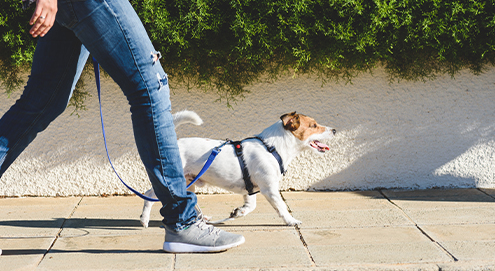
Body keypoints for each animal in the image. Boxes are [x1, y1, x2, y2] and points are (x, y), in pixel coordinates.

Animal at [141, 110, 340, 227]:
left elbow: (250, 205)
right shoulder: (270, 189)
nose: (335, 130)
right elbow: (282, 207)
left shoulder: (250, 189)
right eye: (314, 125)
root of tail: (174, 145)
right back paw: (144, 219)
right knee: (149, 195)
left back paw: (202, 218)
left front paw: (239, 212)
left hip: (189, 182)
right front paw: (291, 221)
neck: (272, 147)